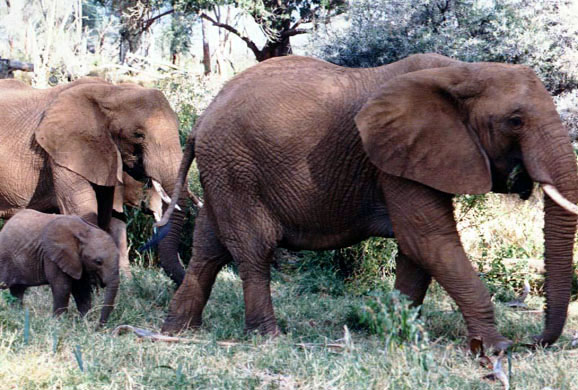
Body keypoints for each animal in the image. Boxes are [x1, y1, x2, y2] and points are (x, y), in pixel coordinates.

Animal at [0, 77, 189, 284]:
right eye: (138, 135)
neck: (111, 92)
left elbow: (115, 216)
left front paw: (124, 282)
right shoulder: (64, 153)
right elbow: (82, 211)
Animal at [158, 52, 576, 350]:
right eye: (515, 121)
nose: (532, 342)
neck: (462, 71)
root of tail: (200, 120)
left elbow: (416, 250)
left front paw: (400, 332)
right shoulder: (394, 157)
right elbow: (428, 239)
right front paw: (495, 348)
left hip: (222, 171)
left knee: (208, 248)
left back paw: (179, 330)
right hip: (236, 168)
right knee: (253, 249)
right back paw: (267, 337)